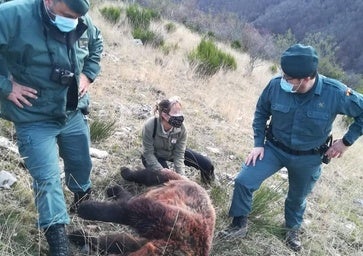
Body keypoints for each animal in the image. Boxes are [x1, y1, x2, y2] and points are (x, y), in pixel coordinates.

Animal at [70, 167, 216, 255]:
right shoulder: (168, 219)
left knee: (131, 197)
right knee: (151, 175)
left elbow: (118, 242)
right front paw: (86, 208)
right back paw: (126, 172)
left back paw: (115, 190)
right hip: (171, 179)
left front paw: (80, 236)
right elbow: (128, 211)